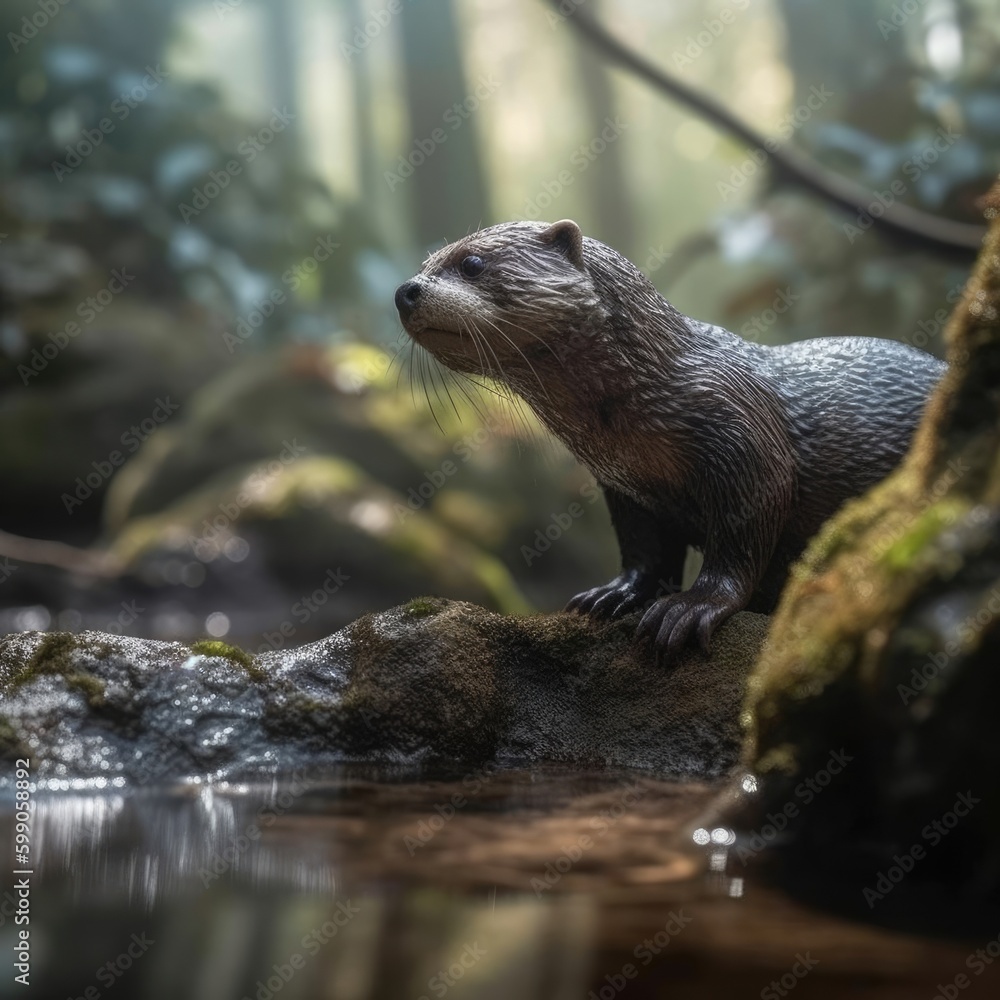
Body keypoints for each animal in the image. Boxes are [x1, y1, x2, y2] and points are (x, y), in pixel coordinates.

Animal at [394, 219, 947, 660]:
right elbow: (644, 549)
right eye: (425, 262)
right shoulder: (625, 486)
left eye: (472, 262)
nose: (405, 290)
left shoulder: (747, 446)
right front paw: (614, 595)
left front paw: (690, 608)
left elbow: (740, 542)